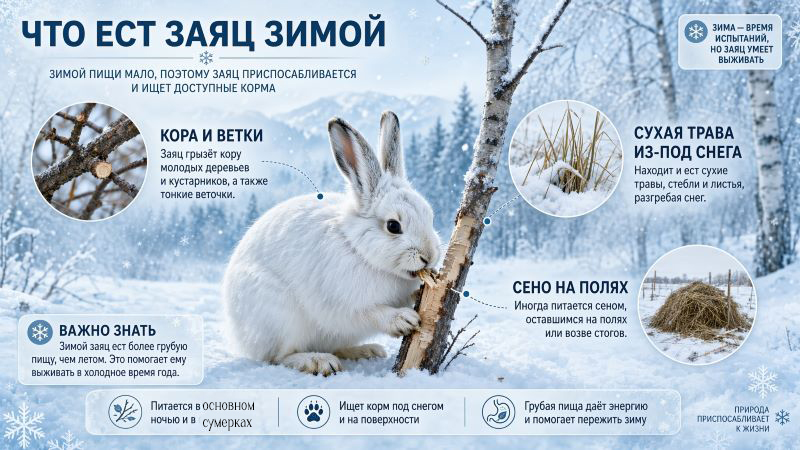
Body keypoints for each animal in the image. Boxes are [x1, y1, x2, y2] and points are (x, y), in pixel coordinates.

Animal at [222, 111, 441, 375]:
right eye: (393, 226)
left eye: (430, 216)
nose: (429, 256)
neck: (358, 249)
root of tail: (237, 335)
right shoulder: (342, 304)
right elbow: (369, 313)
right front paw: (403, 320)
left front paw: (417, 292)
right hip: (278, 318)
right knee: (278, 356)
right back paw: (317, 361)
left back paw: (365, 350)